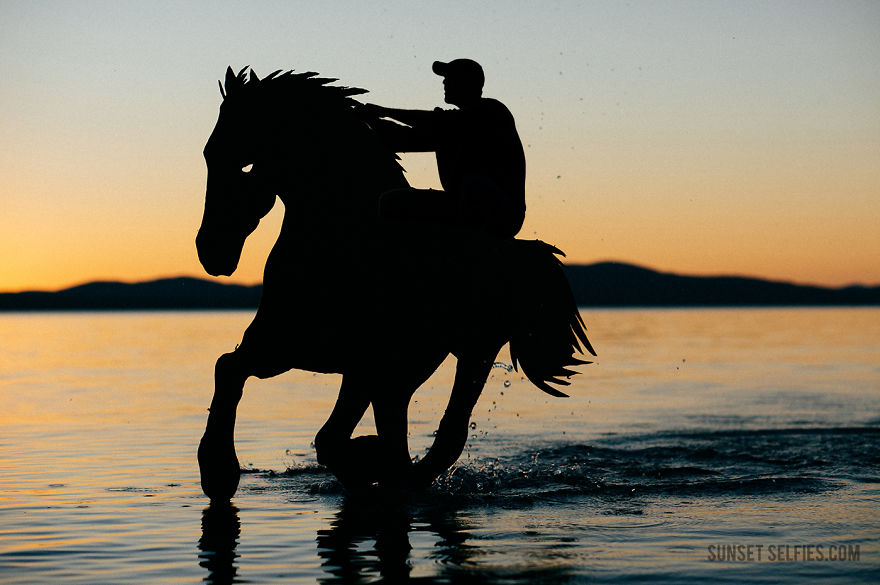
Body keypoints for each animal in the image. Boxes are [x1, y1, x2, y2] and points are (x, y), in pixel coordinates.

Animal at [196, 66, 595, 500]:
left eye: (241, 164)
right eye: (207, 155)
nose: (209, 251)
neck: (340, 241)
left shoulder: (341, 357)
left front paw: (219, 469)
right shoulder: (289, 347)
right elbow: (228, 367)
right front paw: (217, 471)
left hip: (468, 351)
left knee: (444, 436)